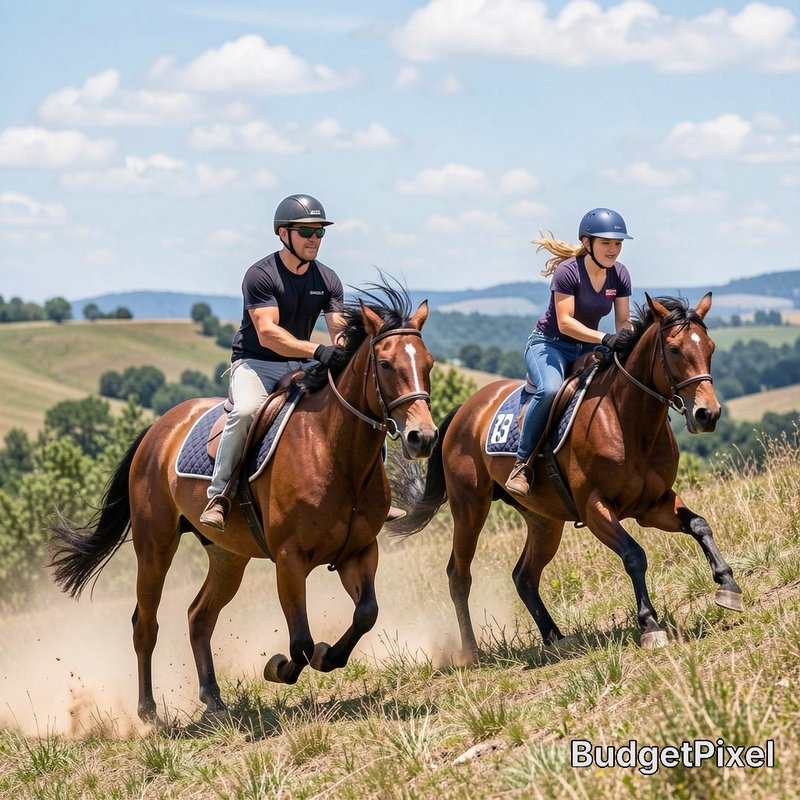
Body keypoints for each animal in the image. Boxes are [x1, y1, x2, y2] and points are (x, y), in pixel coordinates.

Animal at [50, 282, 438, 722]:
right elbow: (300, 642)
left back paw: (213, 698)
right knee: (144, 624)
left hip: (228, 556)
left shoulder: (359, 551)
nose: (422, 437)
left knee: (199, 616)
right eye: (386, 364)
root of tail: (157, 429)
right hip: (155, 549)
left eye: (428, 363)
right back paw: (149, 711)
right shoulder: (289, 559)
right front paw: (279, 668)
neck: (334, 451)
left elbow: (365, 615)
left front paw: (328, 655)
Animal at [390, 293, 743, 663]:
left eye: (710, 347)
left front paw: (729, 587)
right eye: (674, 349)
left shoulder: (653, 505)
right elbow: (634, 555)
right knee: (459, 575)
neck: (629, 420)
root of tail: (464, 410)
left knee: (524, 576)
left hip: (544, 519)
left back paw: (555, 637)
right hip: (470, 507)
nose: (707, 414)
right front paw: (650, 625)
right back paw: (472, 653)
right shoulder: (595, 508)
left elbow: (699, 525)